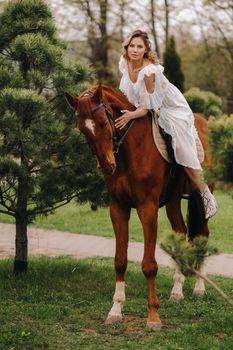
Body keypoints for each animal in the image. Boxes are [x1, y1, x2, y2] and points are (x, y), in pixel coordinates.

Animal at [65, 85, 209, 330]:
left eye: (103, 123)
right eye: (83, 130)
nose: (107, 166)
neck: (130, 151)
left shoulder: (147, 208)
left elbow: (149, 265)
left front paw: (153, 317)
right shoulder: (118, 208)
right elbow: (120, 261)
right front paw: (115, 311)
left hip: (201, 196)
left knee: (203, 235)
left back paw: (199, 286)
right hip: (173, 201)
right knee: (181, 232)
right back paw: (177, 289)